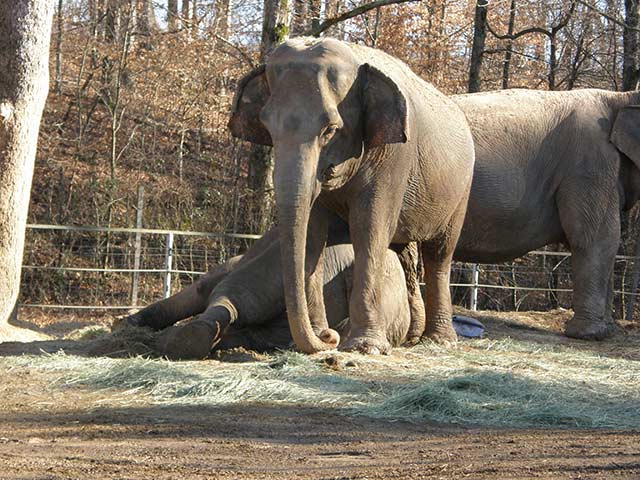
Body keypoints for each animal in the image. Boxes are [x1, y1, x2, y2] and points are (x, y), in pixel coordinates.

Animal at [230, 37, 476, 354]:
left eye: (331, 130)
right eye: (267, 126)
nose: (329, 337)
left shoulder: (394, 156)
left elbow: (369, 228)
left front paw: (365, 347)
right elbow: (312, 233)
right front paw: (319, 337)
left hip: (461, 191)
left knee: (439, 255)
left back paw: (439, 340)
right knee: (406, 254)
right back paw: (411, 337)